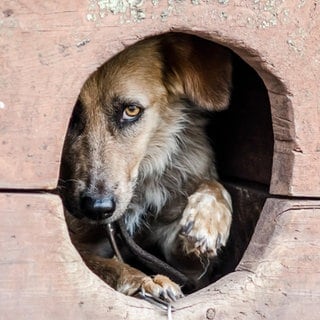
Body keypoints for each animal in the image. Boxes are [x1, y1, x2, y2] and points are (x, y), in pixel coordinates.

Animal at [58, 32, 232, 300]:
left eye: (131, 110)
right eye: (69, 117)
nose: (98, 208)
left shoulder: (189, 270)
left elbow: (215, 186)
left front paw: (208, 220)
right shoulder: (78, 245)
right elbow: (103, 265)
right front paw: (145, 281)